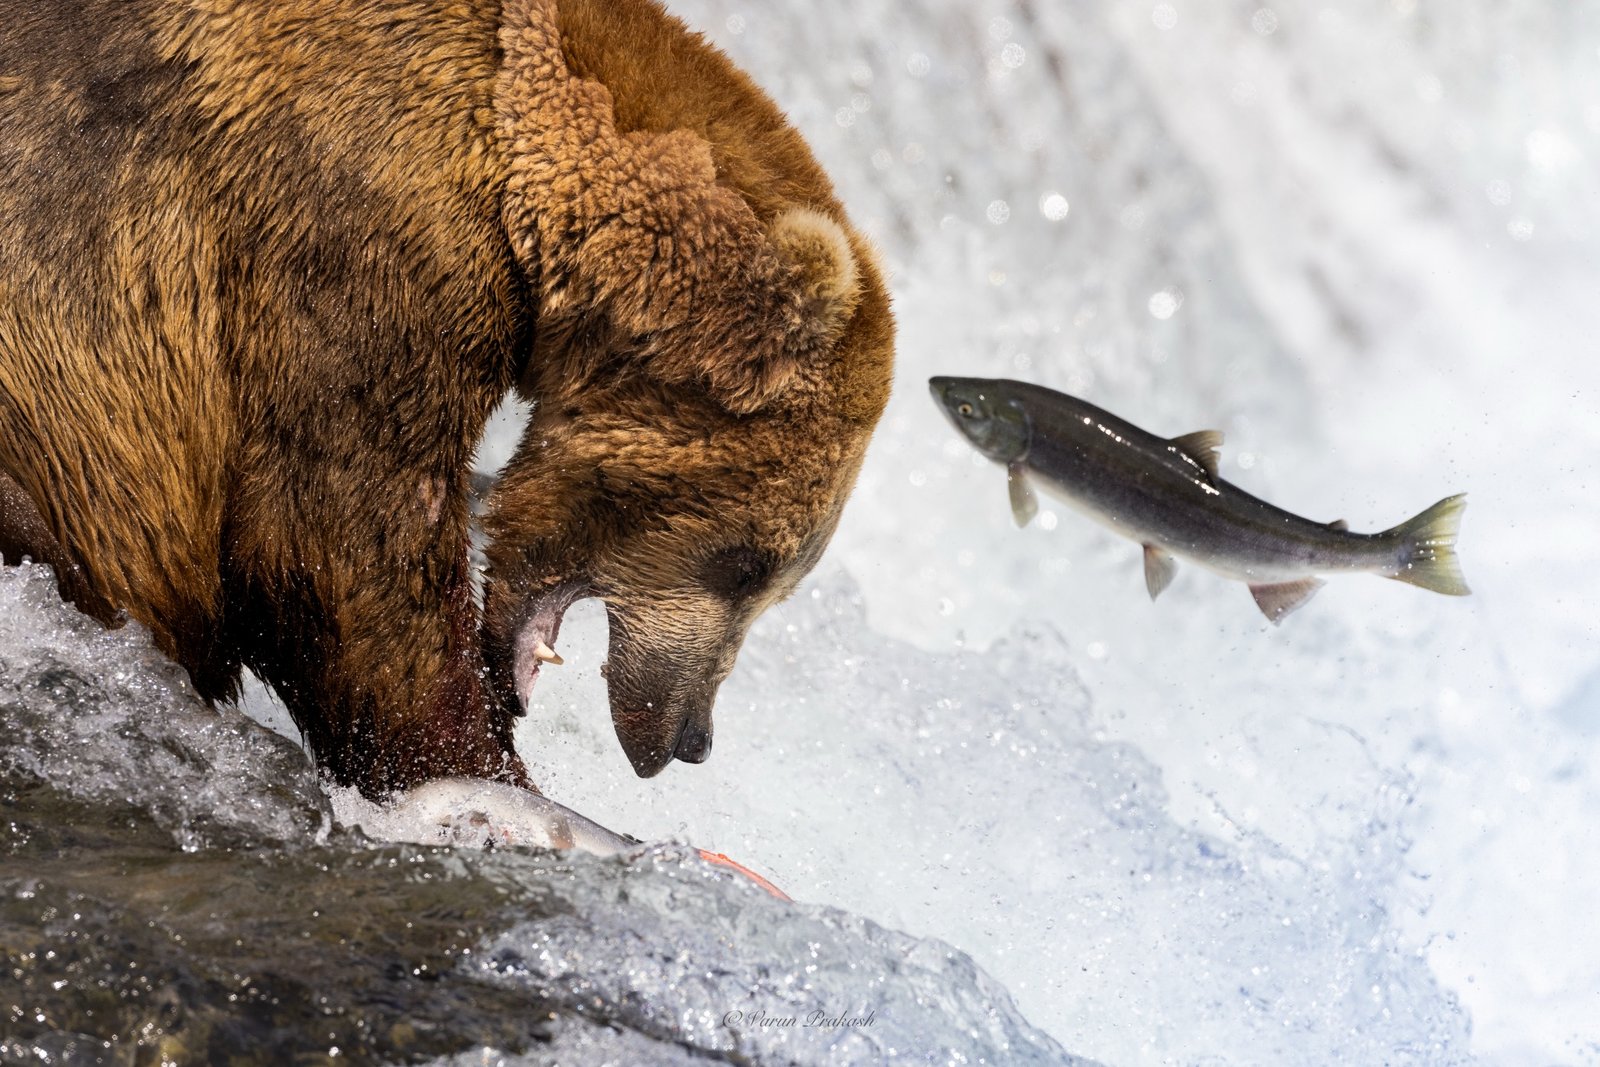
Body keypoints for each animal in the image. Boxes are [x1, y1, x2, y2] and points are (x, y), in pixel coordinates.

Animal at [0, 0, 893, 797]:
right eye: (748, 564)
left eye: (778, 579)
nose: (690, 738)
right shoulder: (354, 238)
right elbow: (341, 536)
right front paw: (482, 768)